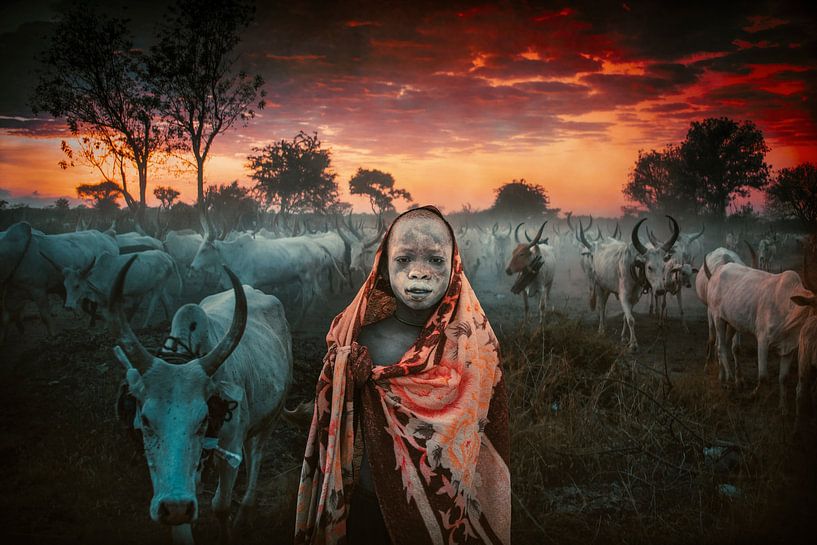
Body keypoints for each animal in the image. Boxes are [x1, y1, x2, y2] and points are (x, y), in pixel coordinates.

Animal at [110, 258, 292, 540]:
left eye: (204, 417)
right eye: (146, 420)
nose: (174, 506)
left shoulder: (230, 447)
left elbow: (221, 505)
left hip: (272, 416)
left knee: (256, 456)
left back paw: (245, 512)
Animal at [576, 215, 680, 350]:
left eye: (663, 267)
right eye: (649, 267)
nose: (661, 290)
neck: (634, 266)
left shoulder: (634, 298)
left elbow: (626, 317)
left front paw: (624, 338)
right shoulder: (623, 296)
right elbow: (631, 319)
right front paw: (633, 344)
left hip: (608, 288)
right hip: (599, 285)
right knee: (601, 306)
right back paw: (601, 330)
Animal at [704, 258, 812, 410]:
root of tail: (717, 272)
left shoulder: (789, 347)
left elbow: (783, 378)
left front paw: (783, 407)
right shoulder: (763, 341)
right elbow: (763, 376)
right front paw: (754, 395)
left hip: (731, 323)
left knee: (721, 345)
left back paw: (722, 379)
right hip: (717, 317)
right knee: (720, 348)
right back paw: (730, 378)